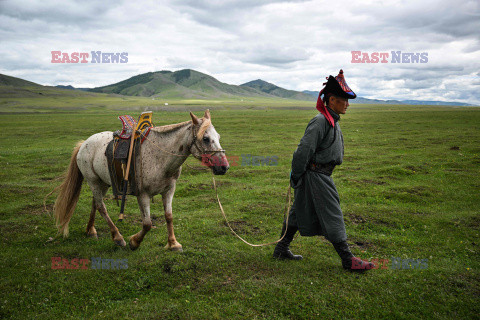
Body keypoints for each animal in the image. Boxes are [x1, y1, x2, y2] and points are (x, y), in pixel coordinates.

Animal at [53, 109, 230, 250]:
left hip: (103, 183)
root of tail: (84, 144)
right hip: (93, 181)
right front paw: (134, 242)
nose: (224, 167)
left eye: (219, 136)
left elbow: (169, 216)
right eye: (206, 138)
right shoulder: (142, 194)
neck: (161, 156)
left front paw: (173, 244)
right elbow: (147, 224)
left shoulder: (169, 190)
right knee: (101, 207)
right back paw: (118, 238)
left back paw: (91, 231)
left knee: (95, 204)